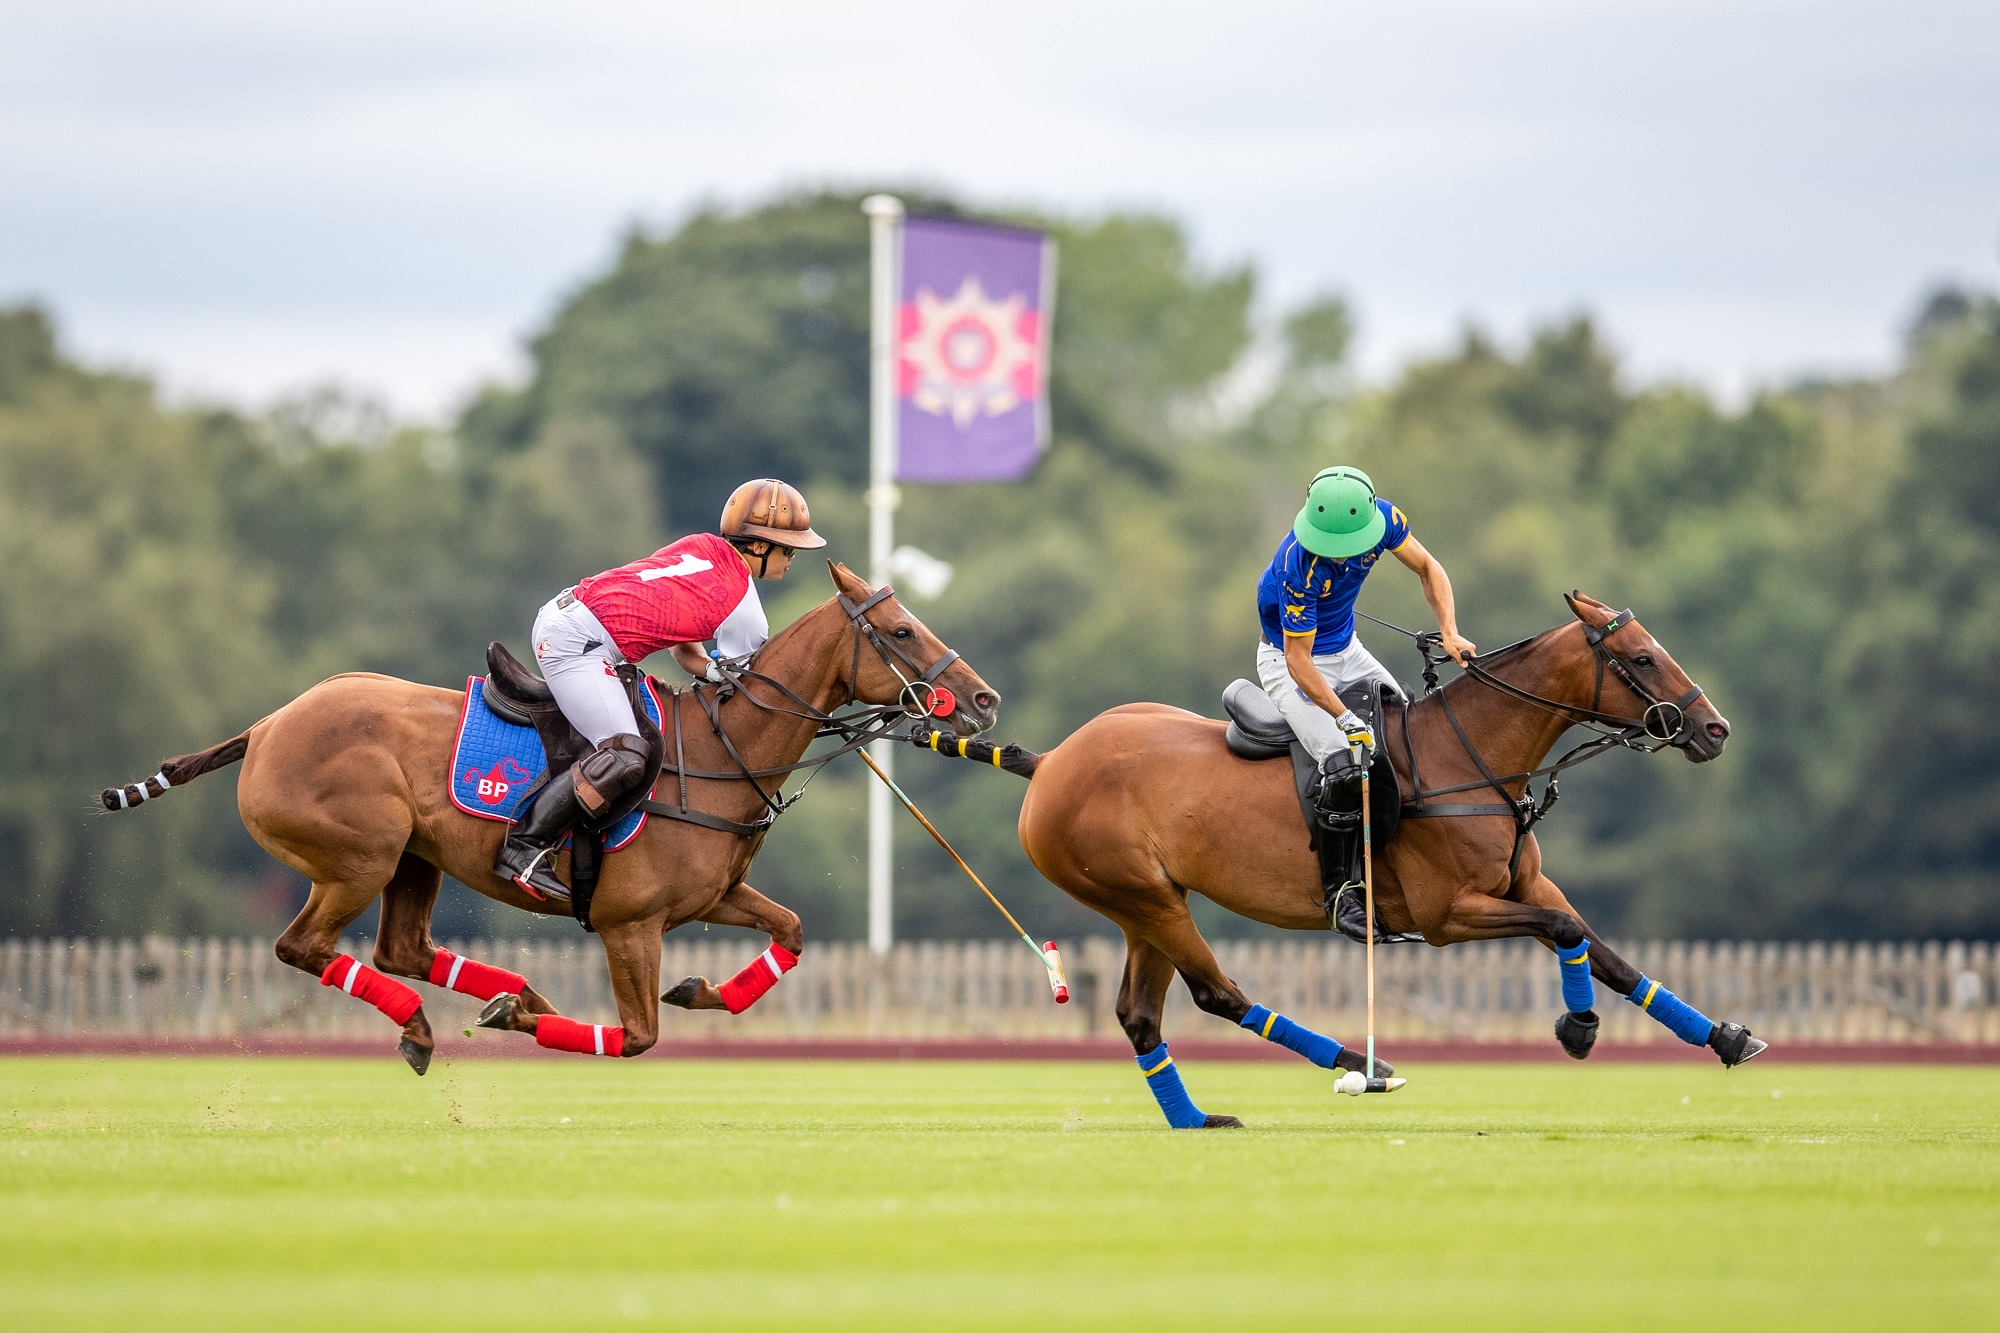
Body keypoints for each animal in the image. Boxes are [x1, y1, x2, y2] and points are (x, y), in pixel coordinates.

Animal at [101, 560, 992, 1072]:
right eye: (902, 629)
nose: (982, 699)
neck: (723, 750)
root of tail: (266, 726)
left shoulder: (709, 899)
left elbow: (793, 932)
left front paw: (699, 988)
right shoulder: (631, 922)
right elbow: (637, 1036)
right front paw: (540, 1019)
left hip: (412, 858)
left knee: (401, 949)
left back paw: (501, 996)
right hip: (359, 856)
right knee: (304, 946)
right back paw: (438, 1020)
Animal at [968, 592, 1768, 1120]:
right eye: (1641, 658)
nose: (1715, 728)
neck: (1469, 757)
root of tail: (1050, 763)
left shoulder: (1527, 885)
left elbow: (1606, 953)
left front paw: (1727, 1036)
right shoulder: (1449, 915)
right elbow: (1568, 931)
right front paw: (1578, 1029)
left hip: (1148, 902)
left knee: (1141, 1015)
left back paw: (1197, 1117)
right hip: (1142, 895)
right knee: (1214, 993)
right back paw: (1362, 1064)